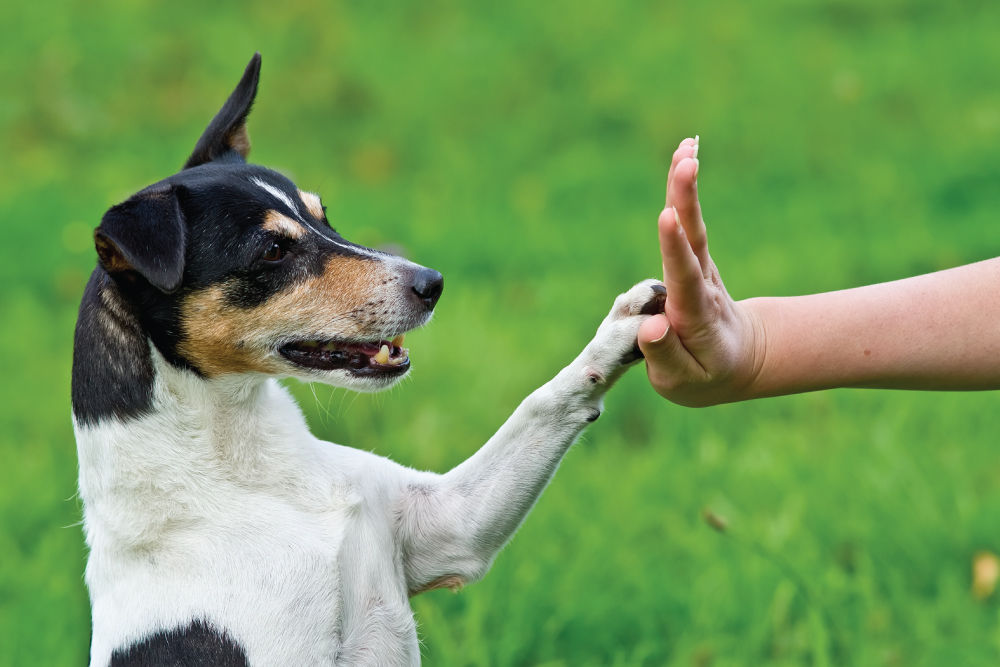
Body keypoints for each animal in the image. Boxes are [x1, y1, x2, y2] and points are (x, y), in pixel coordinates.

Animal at [72, 54, 664, 664]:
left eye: (324, 217)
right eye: (273, 250)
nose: (433, 283)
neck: (247, 469)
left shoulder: (451, 526)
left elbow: (543, 403)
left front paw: (624, 328)